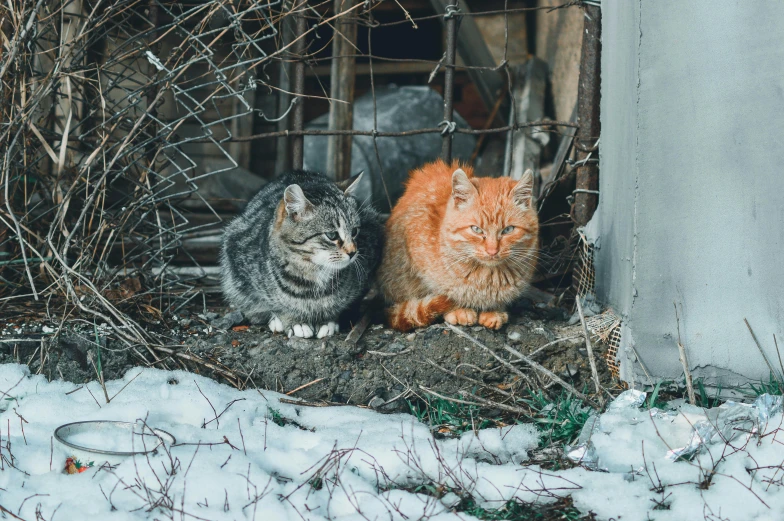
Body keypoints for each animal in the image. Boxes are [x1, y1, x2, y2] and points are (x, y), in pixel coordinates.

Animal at [219, 169, 382, 336]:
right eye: (332, 235)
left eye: (355, 231)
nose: (353, 252)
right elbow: (275, 305)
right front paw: (295, 321)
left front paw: (328, 320)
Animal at [380, 159, 540, 330]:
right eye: (476, 229)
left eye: (508, 230)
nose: (492, 251)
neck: (488, 277)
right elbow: (441, 291)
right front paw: (458, 309)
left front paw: (494, 310)